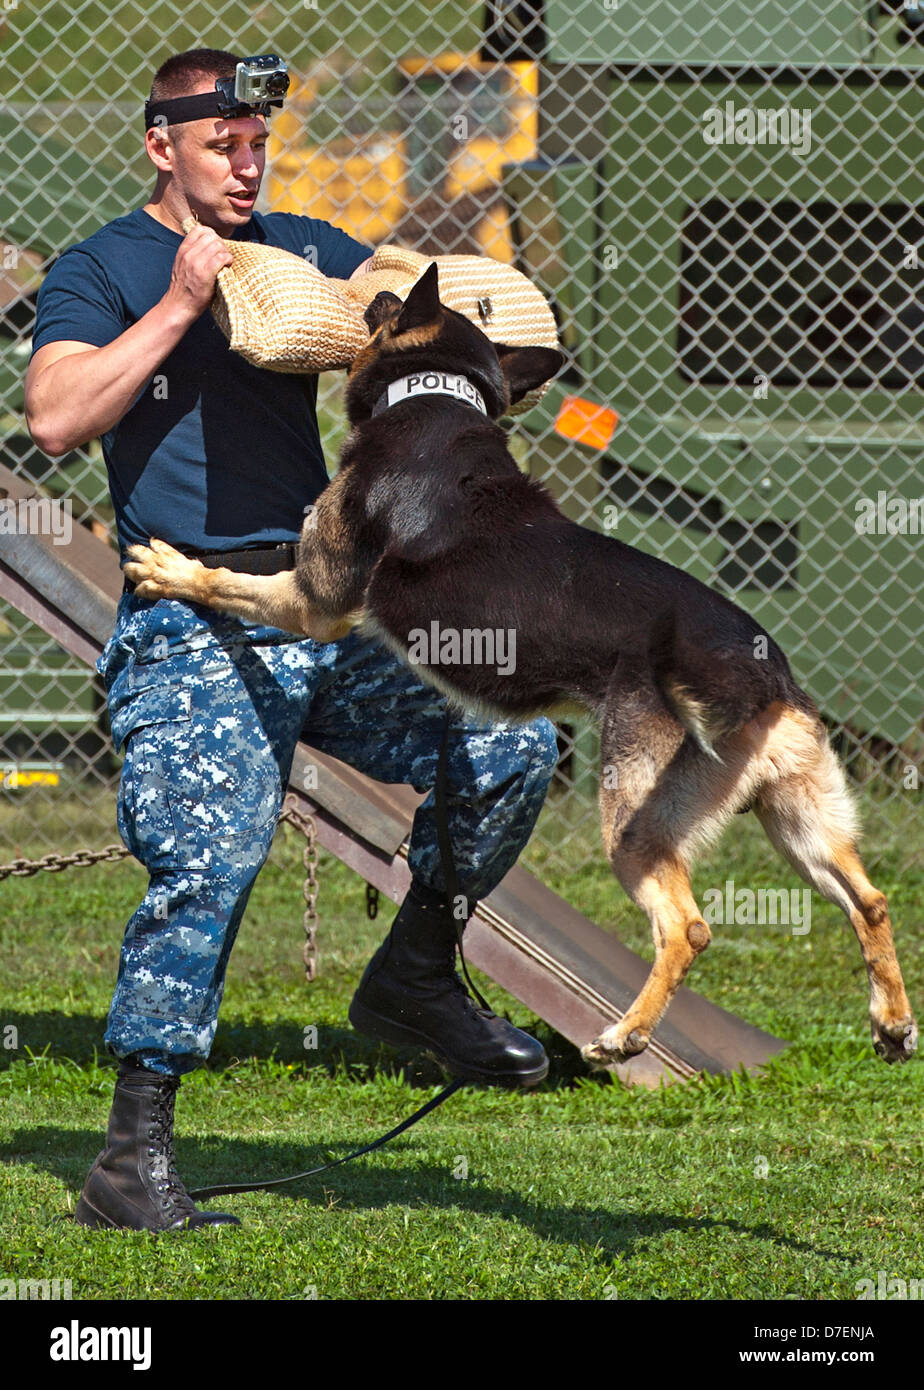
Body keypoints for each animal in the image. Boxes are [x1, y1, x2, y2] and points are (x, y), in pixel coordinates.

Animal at [122, 258, 917, 1061]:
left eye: (388, 308)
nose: (379, 288)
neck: (436, 394)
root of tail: (762, 674)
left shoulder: (315, 601)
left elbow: (233, 583)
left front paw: (171, 570)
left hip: (635, 820)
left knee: (688, 928)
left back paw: (624, 1035)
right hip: (797, 817)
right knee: (871, 900)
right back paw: (891, 1022)